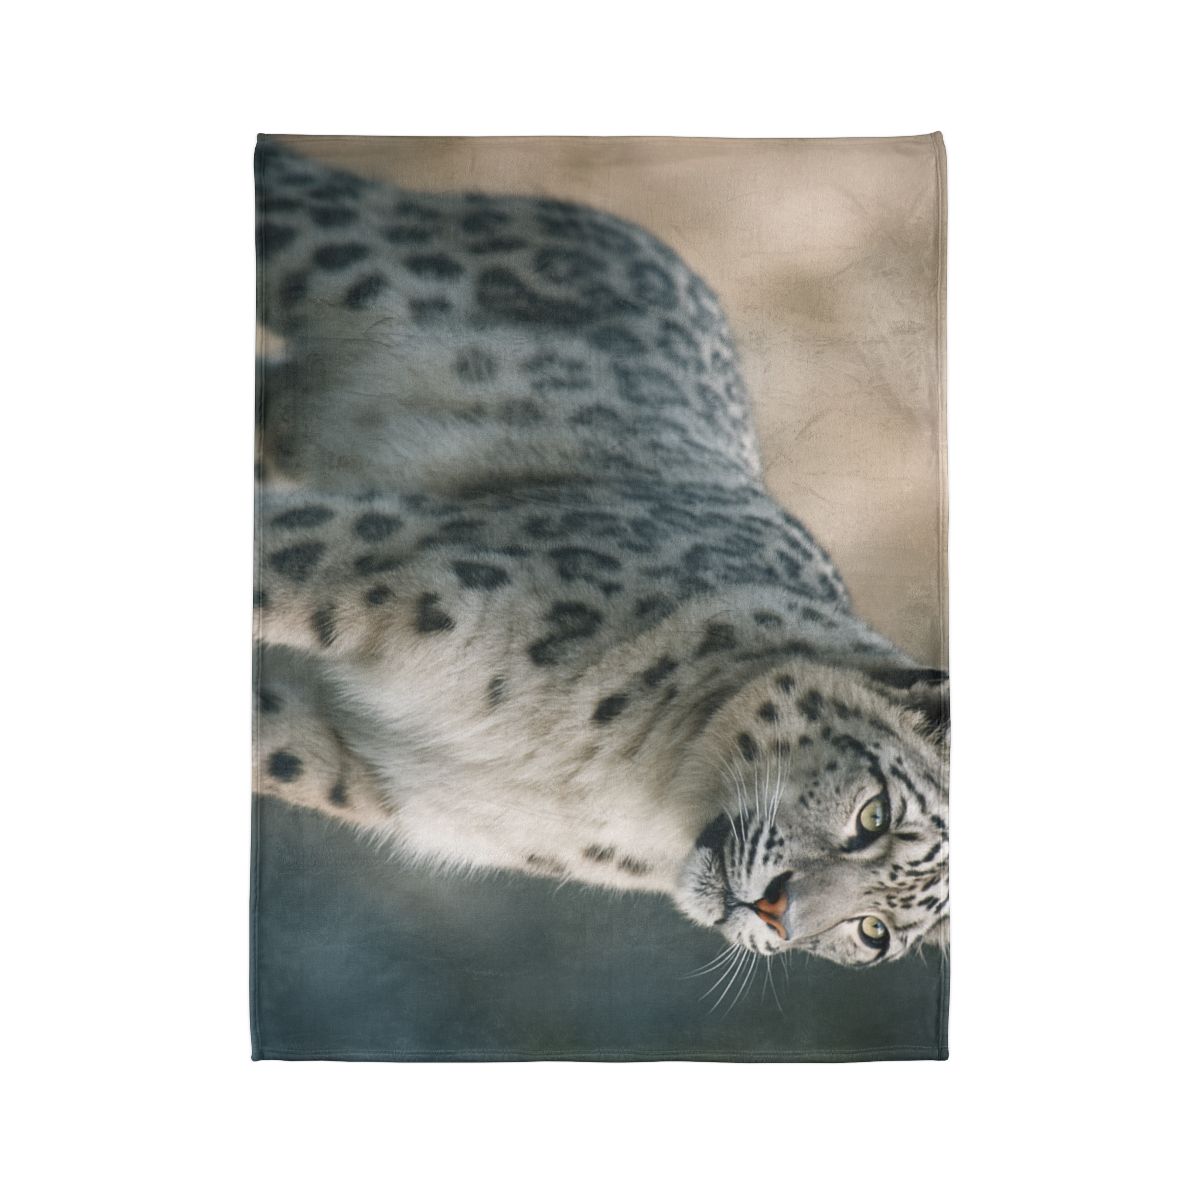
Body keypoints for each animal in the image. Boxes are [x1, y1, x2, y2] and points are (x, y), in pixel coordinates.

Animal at [253, 137, 949, 971]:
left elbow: (266, 741)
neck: (622, 785)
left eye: (874, 933)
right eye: (874, 815)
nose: (779, 913)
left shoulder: (365, 766)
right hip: (344, 249)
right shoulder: (395, 562)